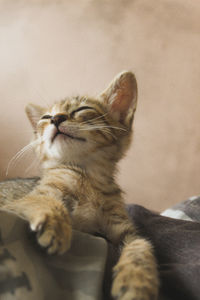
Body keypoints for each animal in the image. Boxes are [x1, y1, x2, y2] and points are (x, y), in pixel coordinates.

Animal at [0, 71, 159, 298]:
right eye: (45, 118)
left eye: (82, 109)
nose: (56, 118)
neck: (87, 177)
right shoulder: (17, 203)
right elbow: (43, 199)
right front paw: (56, 224)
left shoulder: (124, 230)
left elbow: (141, 246)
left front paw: (137, 281)